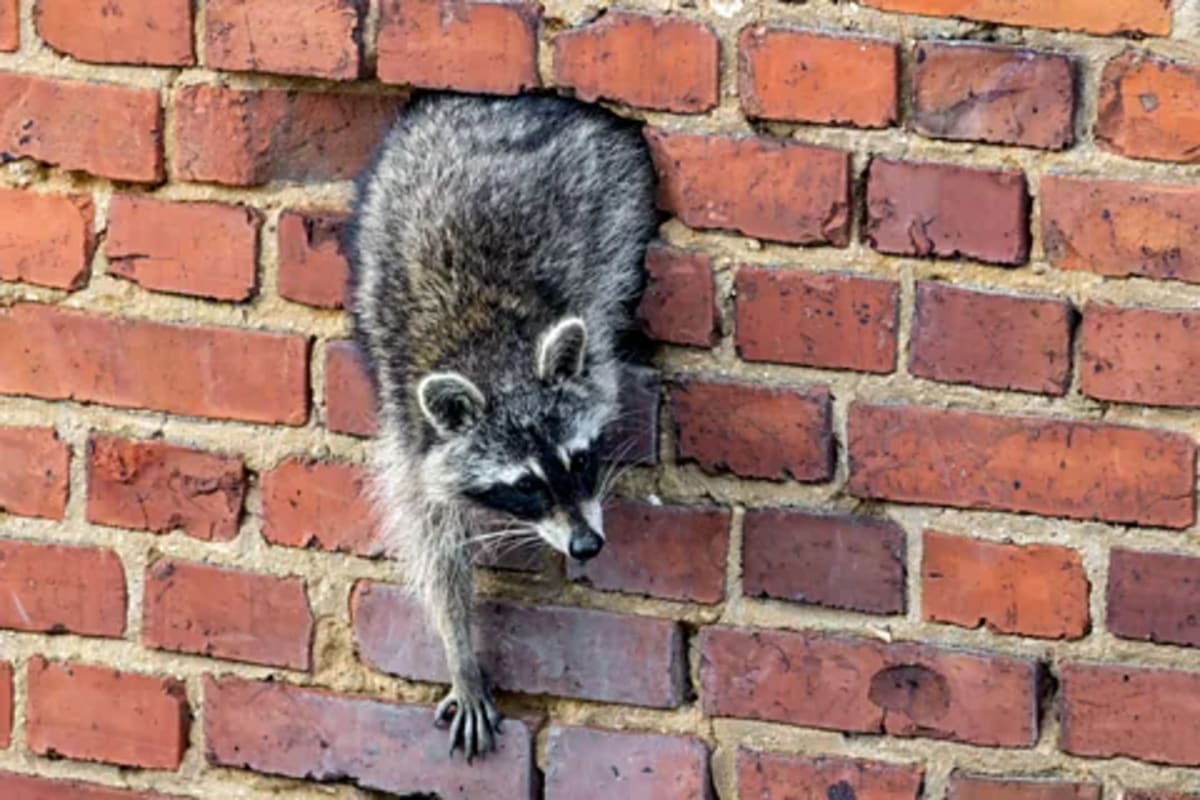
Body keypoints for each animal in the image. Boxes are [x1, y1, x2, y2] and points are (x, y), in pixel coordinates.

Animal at [346, 92, 658, 760]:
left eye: (579, 459)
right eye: (526, 486)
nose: (586, 546)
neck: (487, 345)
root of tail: (496, 104)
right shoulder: (411, 432)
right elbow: (432, 539)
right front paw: (458, 647)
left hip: (608, 179)